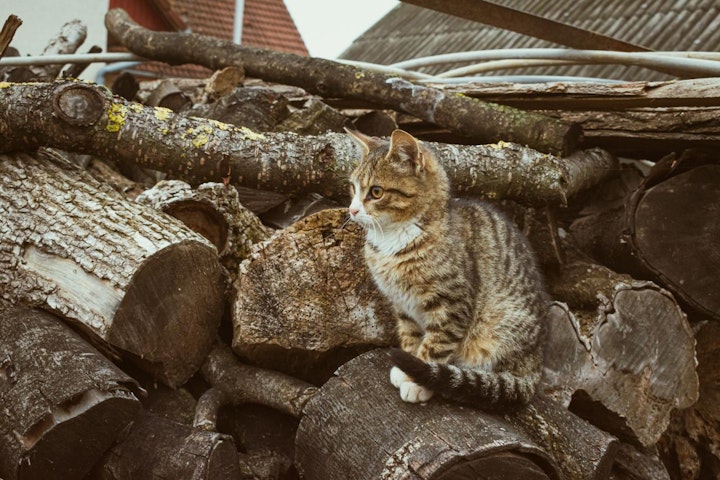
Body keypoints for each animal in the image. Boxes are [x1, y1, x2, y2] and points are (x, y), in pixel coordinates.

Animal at [348, 129, 544, 410]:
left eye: (376, 192)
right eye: (353, 188)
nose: (352, 210)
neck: (394, 238)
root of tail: (536, 367)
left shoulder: (452, 305)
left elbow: (436, 344)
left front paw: (417, 381)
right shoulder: (403, 304)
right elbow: (410, 336)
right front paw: (408, 366)